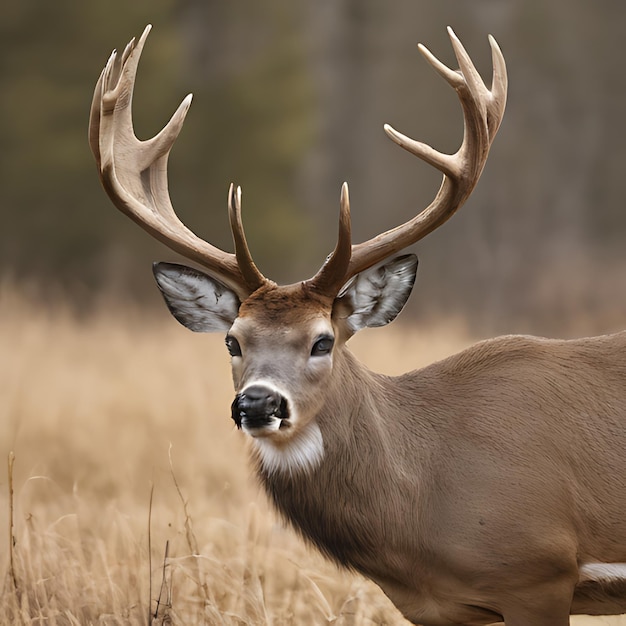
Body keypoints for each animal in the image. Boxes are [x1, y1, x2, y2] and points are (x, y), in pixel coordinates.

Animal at [89, 24, 624, 624]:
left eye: (322, 341)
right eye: (232, 340)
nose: (258, 403)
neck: (425, 503)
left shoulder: (538, 570)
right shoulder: (440, 608)